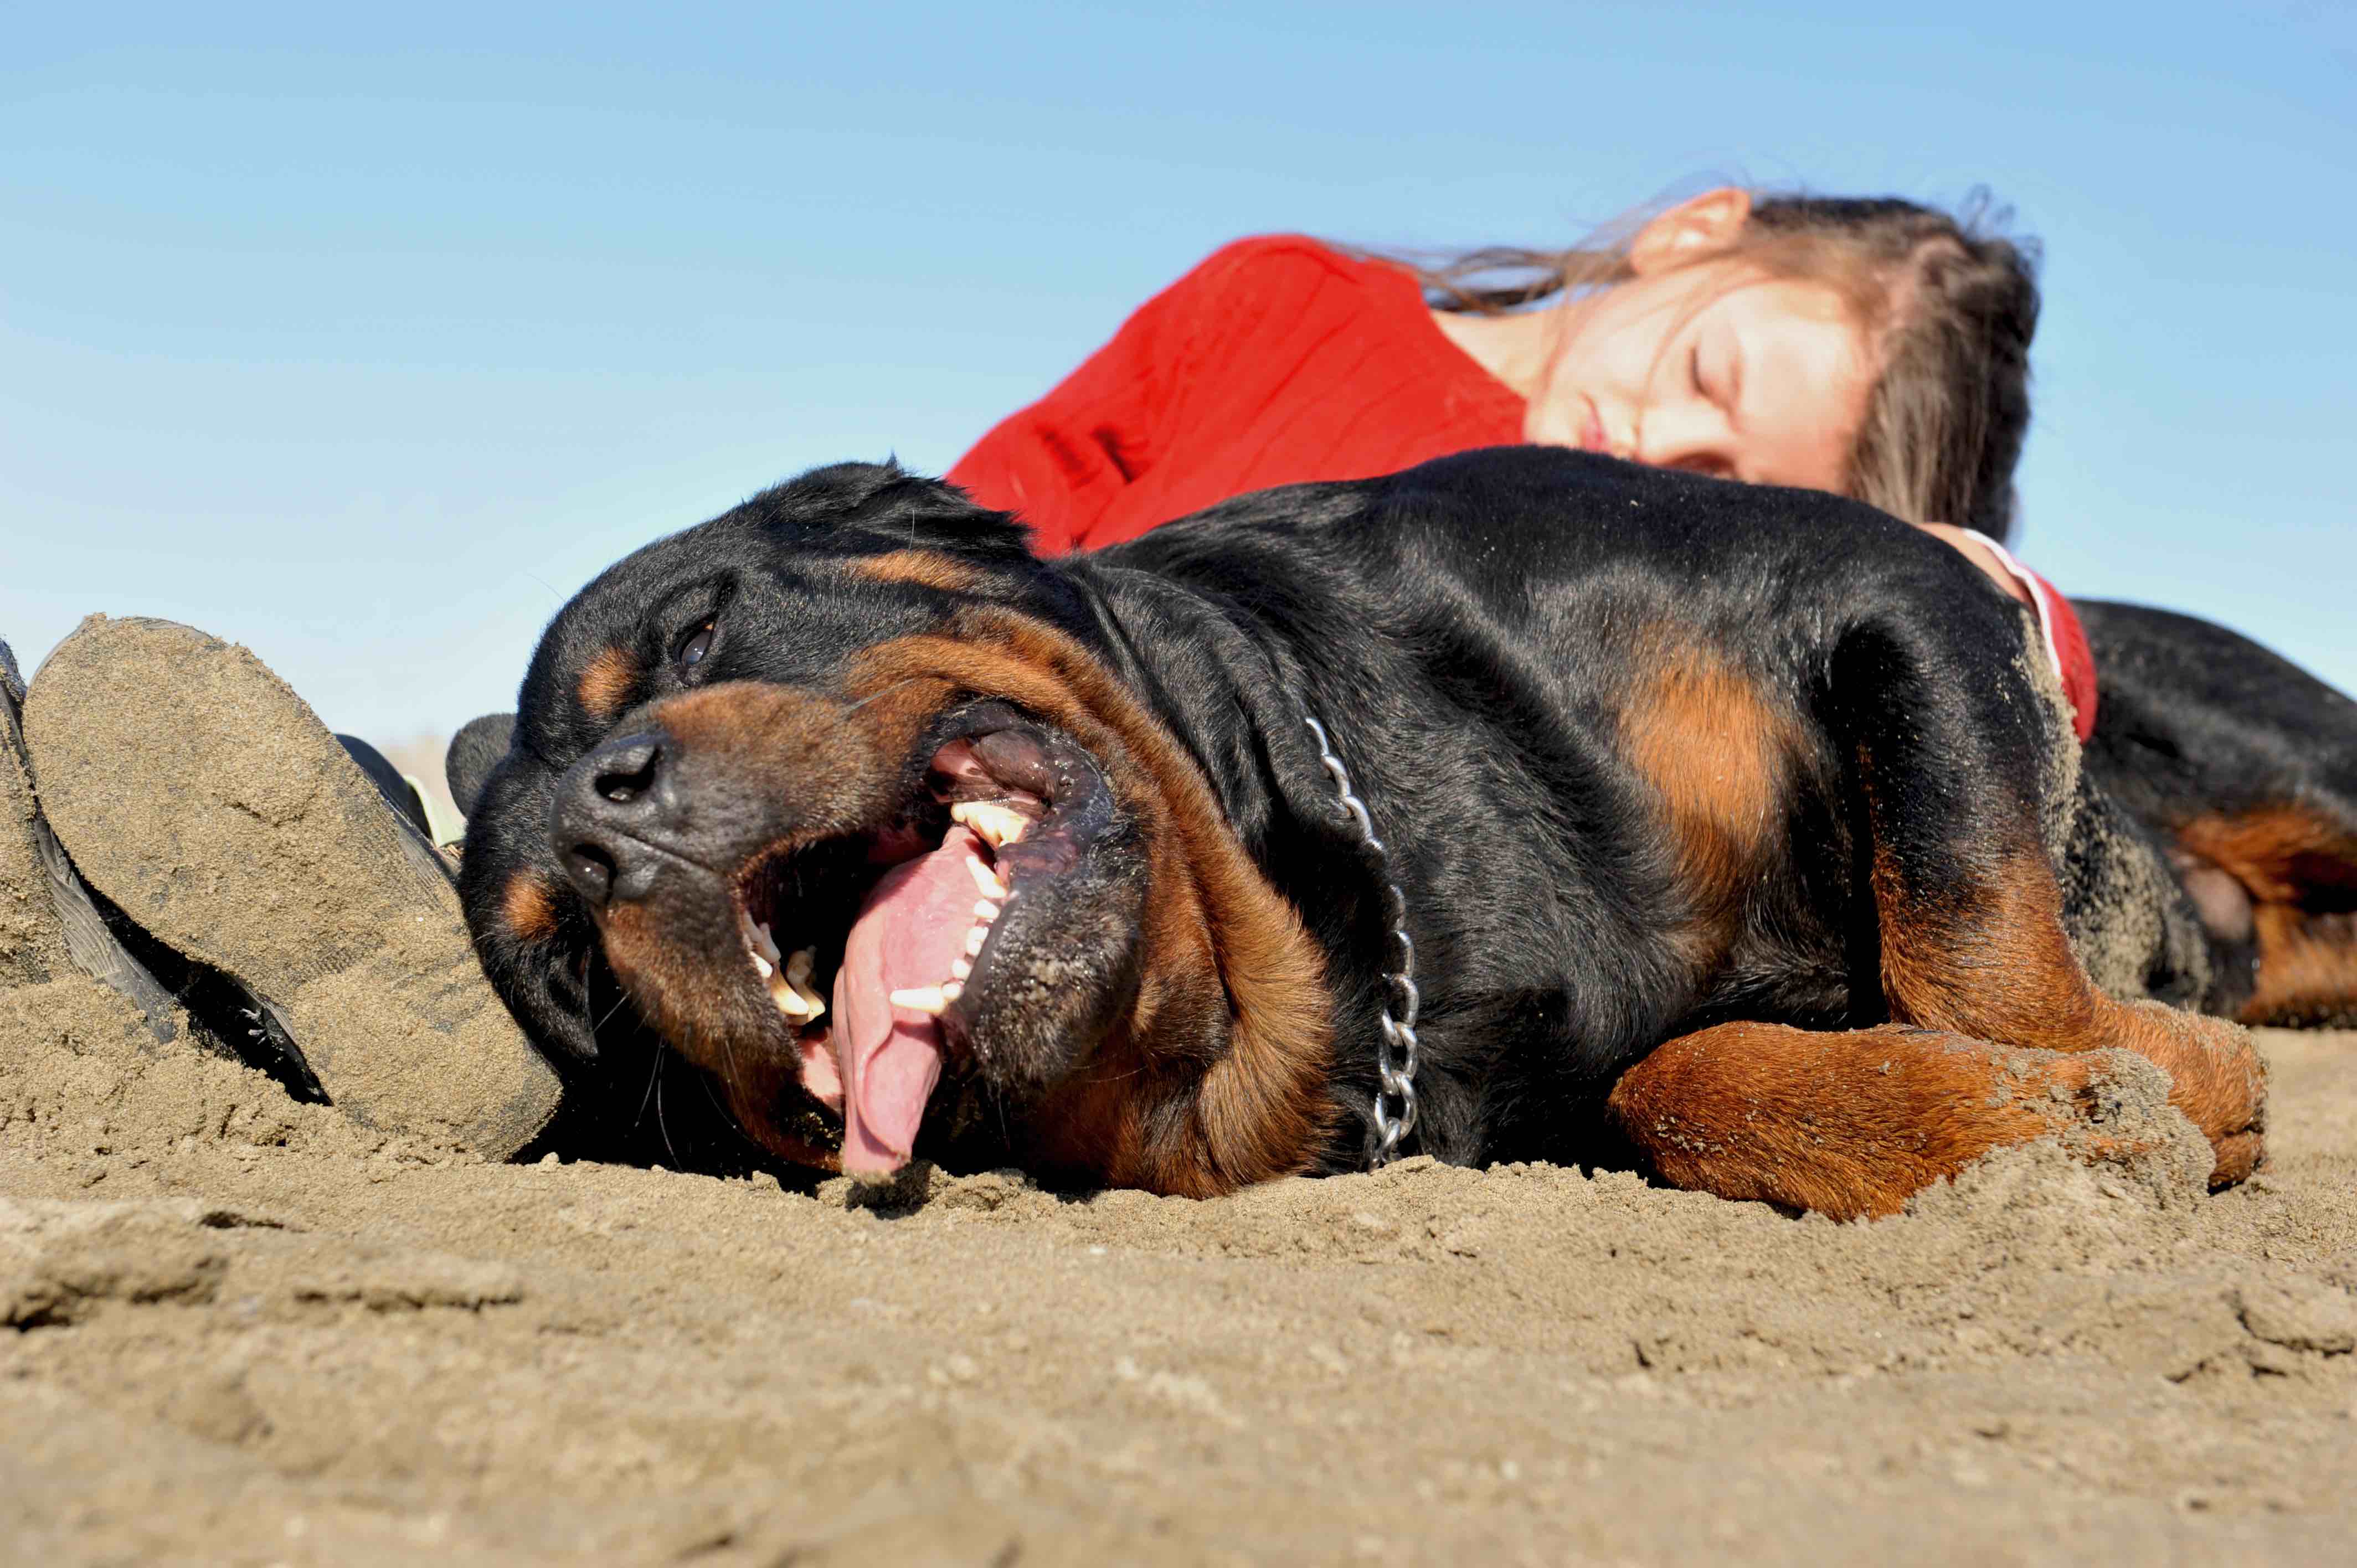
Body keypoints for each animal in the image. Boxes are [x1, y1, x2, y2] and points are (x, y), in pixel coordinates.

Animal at [459, 445, 2300, 1216]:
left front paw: (2141, 1077)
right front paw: (2046, 1114)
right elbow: (1689, 1081)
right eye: (573, 969)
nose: (607, 828)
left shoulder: (1891, 592)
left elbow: (1970, 942)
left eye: (694, 631)